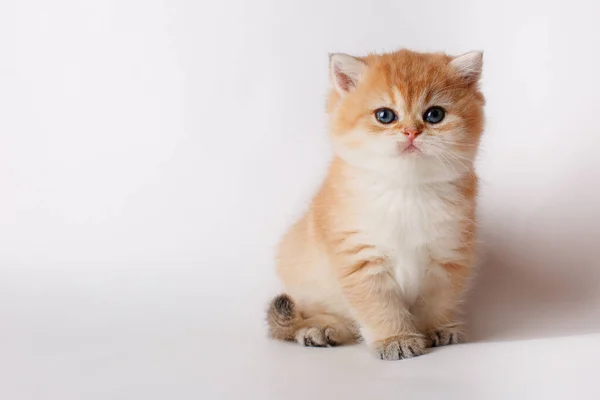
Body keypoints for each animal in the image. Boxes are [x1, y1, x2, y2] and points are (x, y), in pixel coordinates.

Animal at [270, 48, 486, 360]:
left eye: (434, 115)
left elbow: (437, 301)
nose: (411, 132)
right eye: (385, 115)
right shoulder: (360, 260)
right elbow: (380, 307)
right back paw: (319, 329)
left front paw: (436, 329)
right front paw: (396, 339)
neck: (406, 189)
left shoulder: (447, 256)